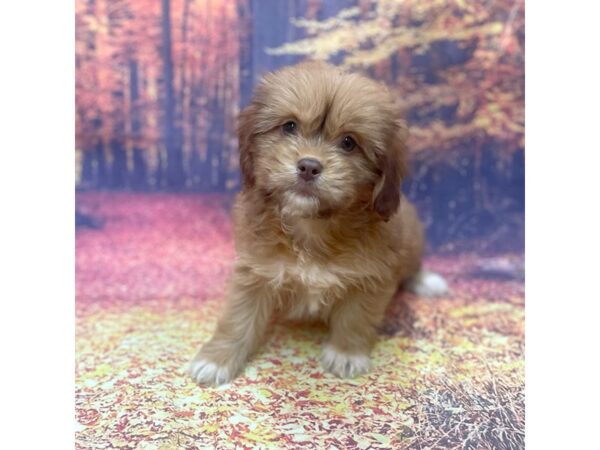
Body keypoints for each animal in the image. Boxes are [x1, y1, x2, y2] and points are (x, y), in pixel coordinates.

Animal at [190, 61, 448, 384]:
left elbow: (355, 317)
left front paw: (346, 353)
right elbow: (238, 318)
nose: (309, 166)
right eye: (289, 126)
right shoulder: (255, 270)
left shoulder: (371, 276)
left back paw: (425, 280)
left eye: (349, 142)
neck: (312, 226)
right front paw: (217, 358)